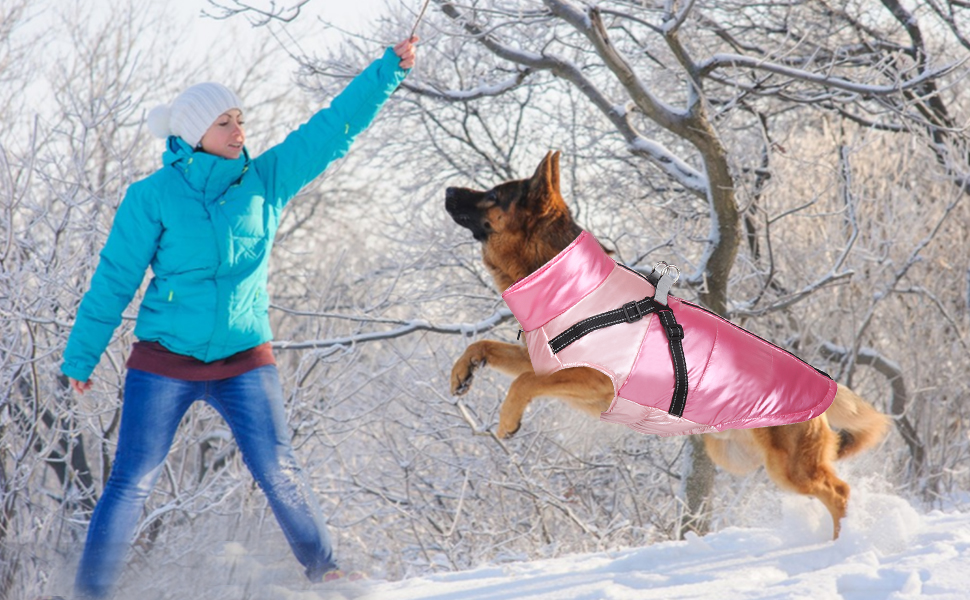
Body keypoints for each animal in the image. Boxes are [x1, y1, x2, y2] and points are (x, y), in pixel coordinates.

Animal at [442, 150, 888, 540]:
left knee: (840, 493)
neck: (569, 284)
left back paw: (843, 544)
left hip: (790, 468)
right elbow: (485, 346)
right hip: (737, 456)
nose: (447, 190)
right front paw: (462, 372)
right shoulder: (546, 362)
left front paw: (507, 419)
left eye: (493, 195)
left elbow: (524, 384)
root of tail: (827, 387)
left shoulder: (594, 380)